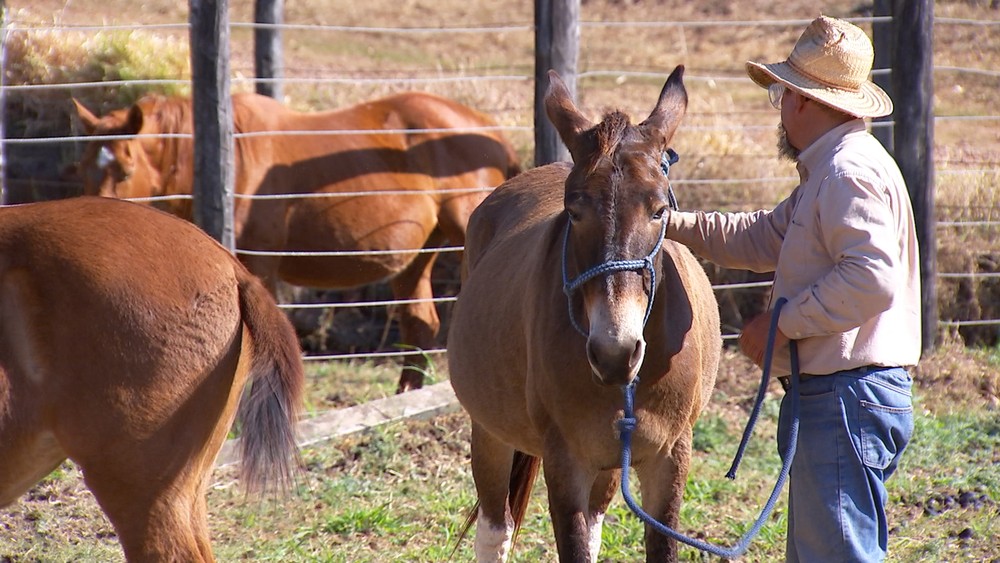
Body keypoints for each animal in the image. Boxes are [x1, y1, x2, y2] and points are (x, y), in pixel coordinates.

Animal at [74, 91, 520, 392]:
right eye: (83, 166)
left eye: (125, 168)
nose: (97, 226)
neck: (238, 157)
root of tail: (490, 131)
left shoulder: (259, 264)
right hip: (419, 255)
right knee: (420, 323)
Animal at [450, 67, 724, 563]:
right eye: (574, 211)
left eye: (659, 210)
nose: (615, 352)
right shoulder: (566, 461)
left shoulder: (669, 457)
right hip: (490, 434)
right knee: (495, 529)